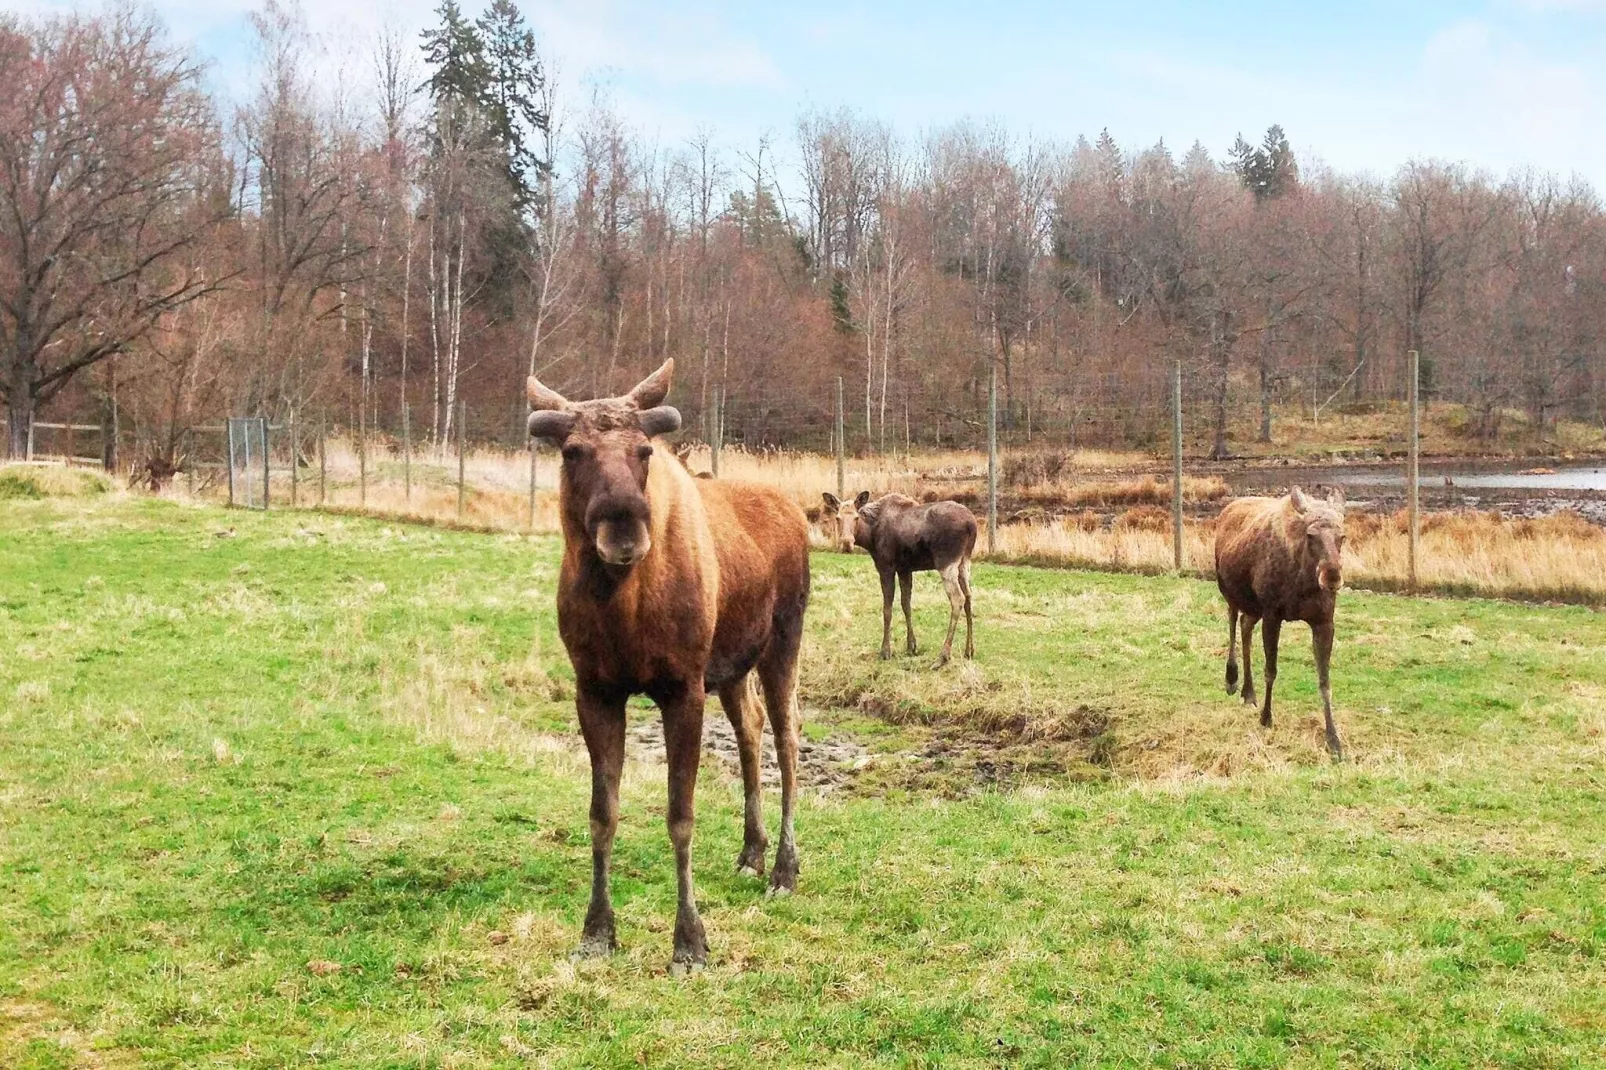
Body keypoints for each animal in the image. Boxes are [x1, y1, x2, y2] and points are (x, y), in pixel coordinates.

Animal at [526, 359, 809, 976]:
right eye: (572, 451)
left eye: (644, 450)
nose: (625, 530)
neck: (622, 604)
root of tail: (798, 513)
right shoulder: (595, 689)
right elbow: (602, 814)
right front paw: (597, 930)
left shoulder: (682, 688)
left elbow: (681, 817)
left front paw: (690, 940)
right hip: (732, 668)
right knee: (751, 729)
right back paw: (751, 851)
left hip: (782, 643)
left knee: (787, 738)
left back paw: (784, 868)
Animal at [822, 491, 970, 668]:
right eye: (837, 518)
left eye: (856, 517)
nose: (846, 543)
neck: (870, 537)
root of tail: (972, 524)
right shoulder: (904, 569)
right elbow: (906, 605)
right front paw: (911, 646)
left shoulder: (886, 567)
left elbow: (887, 609)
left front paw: (885, 651)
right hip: (964, 562)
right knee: (969, 597)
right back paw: (969, 650)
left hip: (946, 563)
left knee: (958, 599)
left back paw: (943, 657)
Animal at [1214, 481, 1342, 758]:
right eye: (1311, 535)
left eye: (1342, 536)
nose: (1332, 576)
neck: (1304, 583)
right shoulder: (1273, 613)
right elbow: (1271, 671)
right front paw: (1266, 717)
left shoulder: (1324, 621)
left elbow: (1324, 681)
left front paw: (1334, 739)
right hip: (1230, 590)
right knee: (1232, 622)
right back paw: (1232, 679)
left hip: (1254, 606)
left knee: (1245, 625)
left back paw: (1248, 693)